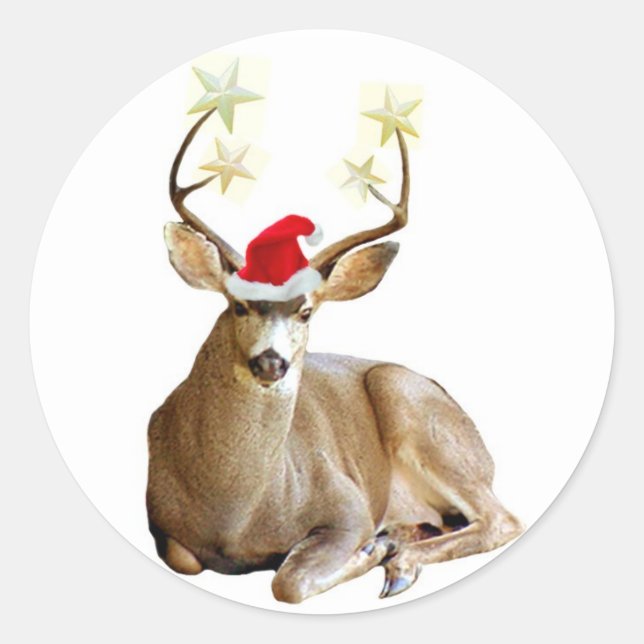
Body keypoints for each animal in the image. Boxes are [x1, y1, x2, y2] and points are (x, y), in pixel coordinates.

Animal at [146, 106, 523, 604]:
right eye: (239, 304)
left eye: (306, 311)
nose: (270, 362)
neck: (236, 515)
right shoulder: (161, 523)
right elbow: (185, 560)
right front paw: (381, 545)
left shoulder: (347, 502)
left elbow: (288, 582)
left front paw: (370, 551)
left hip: (413, 404)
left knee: (502, 519)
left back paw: (399, 561)